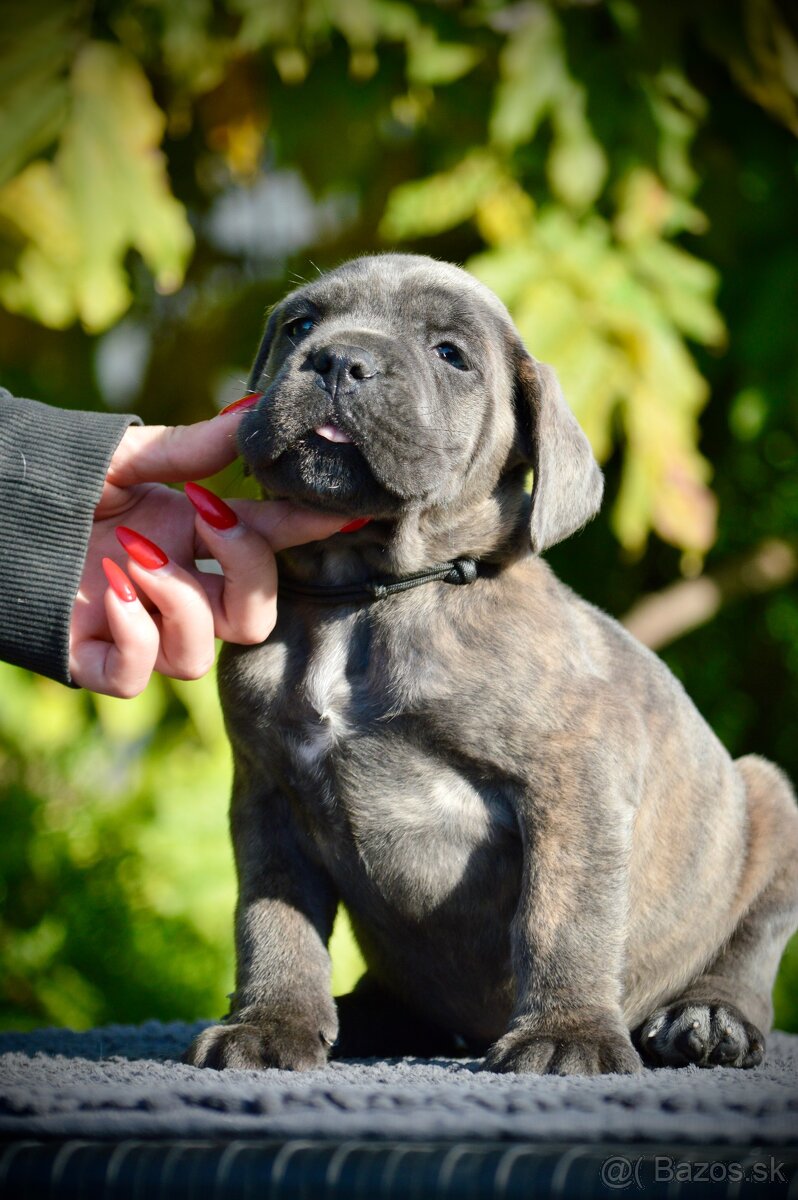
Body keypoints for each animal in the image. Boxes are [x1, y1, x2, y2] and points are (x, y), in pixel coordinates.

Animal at [182, 253, 796, 1080]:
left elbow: (562, 917)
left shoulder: (574, 785)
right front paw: (270, 1021)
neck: (369, 592)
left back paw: (709, 1018)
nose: (340, 360)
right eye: (299, 325)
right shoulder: (268, 794)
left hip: (769, 801)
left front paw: (567, 1033)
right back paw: (366, 1014)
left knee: (747, 954)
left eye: (451, 355)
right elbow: (273, 920)